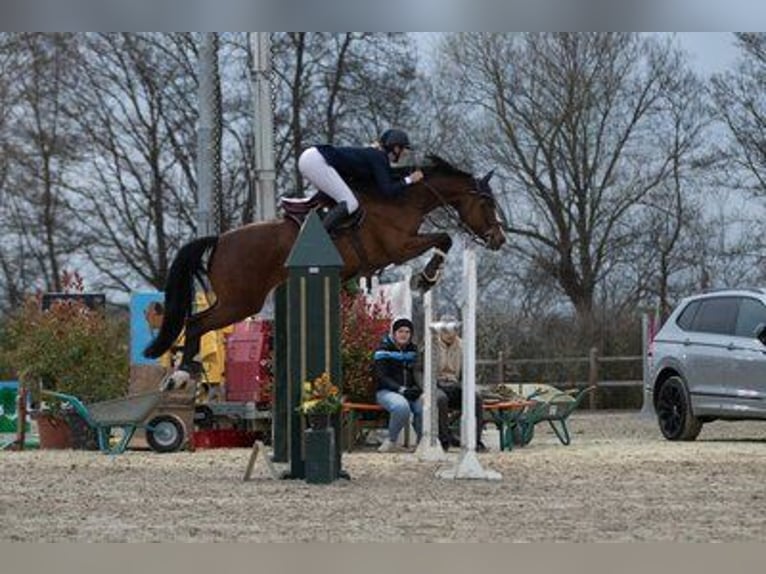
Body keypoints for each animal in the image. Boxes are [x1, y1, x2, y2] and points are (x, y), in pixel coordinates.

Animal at [144, 155, 507, 386]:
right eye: (487, 203)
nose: (499, 239)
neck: (403, 199)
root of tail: (219, 239)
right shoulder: (399, 246)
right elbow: (444, 238)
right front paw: (426, 277)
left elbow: (442, 239)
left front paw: (426, 276)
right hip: (241, 302)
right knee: (196, 322)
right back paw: (183, 372)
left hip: (237, 300)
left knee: (196, 322)